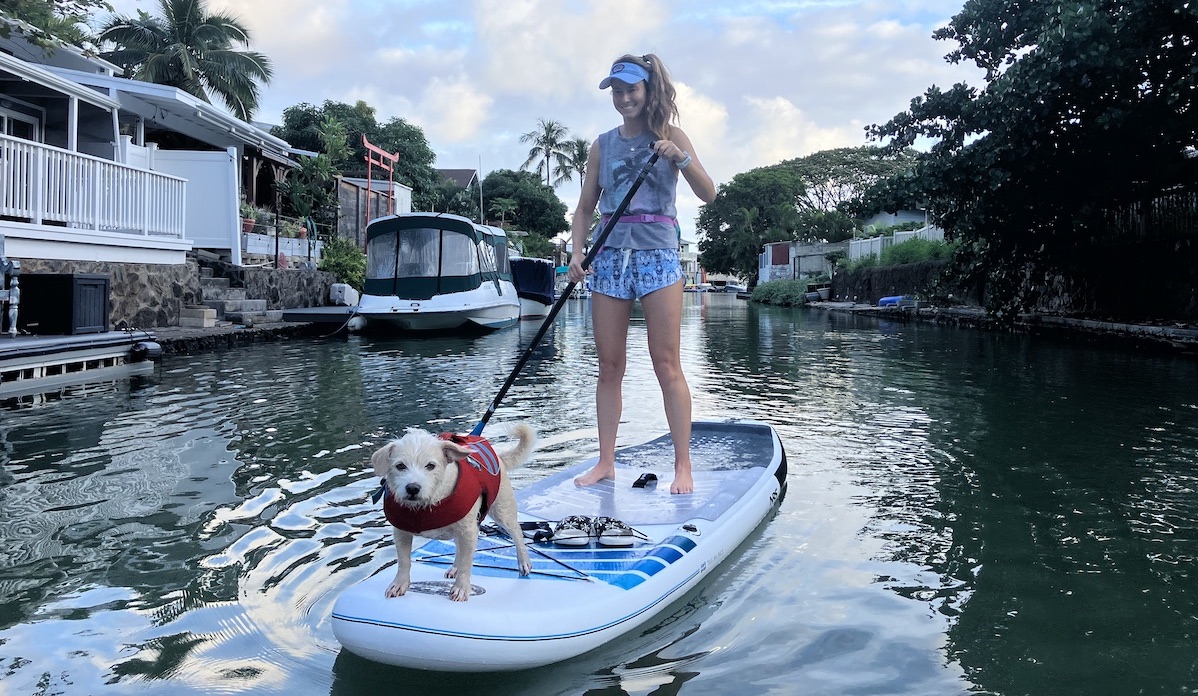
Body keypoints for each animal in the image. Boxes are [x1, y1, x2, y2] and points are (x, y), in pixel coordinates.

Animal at [364, 421, 534, 598]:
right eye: (400, 466)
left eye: (430, 466)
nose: (412, 488)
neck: (426, 506)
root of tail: (500, 459)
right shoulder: (401, 532)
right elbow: (404, 561)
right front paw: (399, 584)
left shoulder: (468, 531)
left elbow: (466, 564)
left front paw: (461, 588)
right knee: (459, 548)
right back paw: (454, 568)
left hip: (502, 511)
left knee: (517, 533)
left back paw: (524, 561)